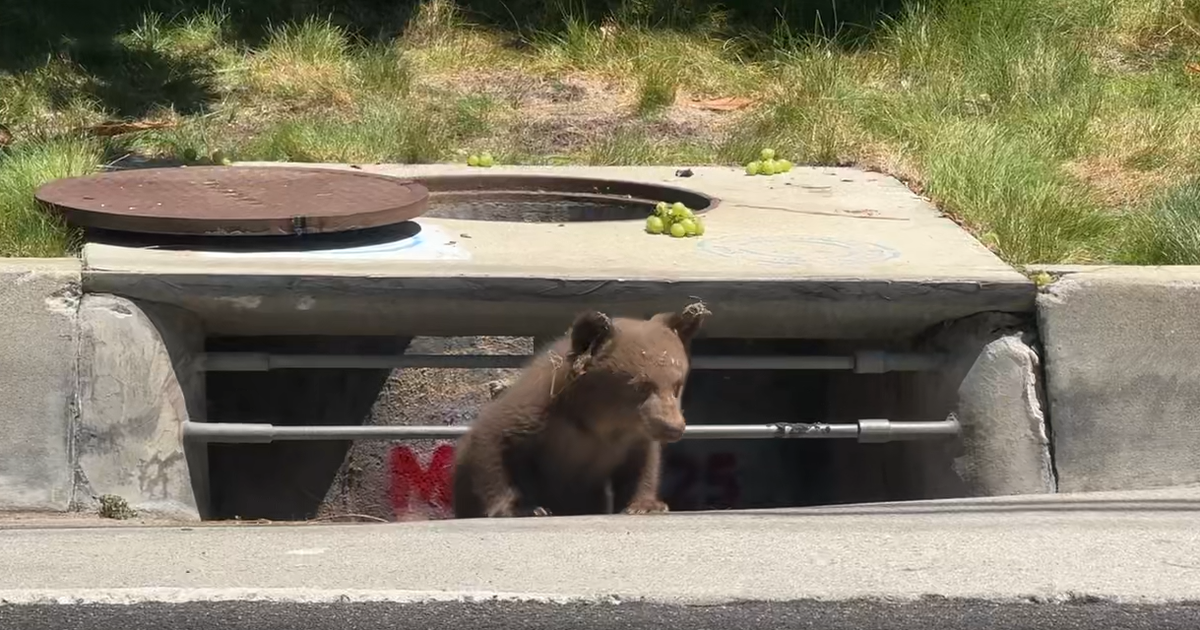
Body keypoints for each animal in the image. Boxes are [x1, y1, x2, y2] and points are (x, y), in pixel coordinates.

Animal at [452, 303, 709, 519]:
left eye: (677, 385)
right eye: (640, 385)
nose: (673, 427)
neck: (597, 420)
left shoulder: (631, 437)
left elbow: (643, 463)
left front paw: (646, 505)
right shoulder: (537, 411)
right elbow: (493, 441)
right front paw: (524, 508)